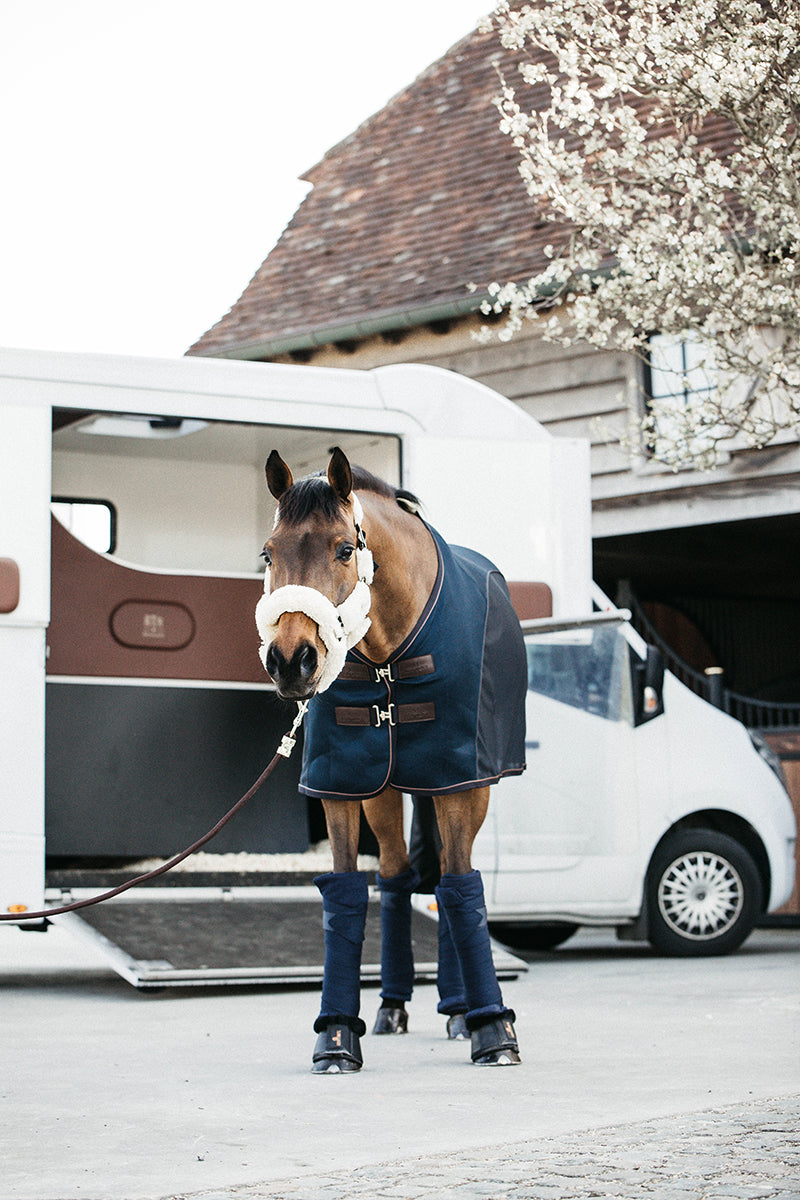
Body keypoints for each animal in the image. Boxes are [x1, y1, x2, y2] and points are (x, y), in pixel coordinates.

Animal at [256, 448, 532, 1070]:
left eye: (344, 548)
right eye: (268, 552)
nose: (290, 660)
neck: (389, 653)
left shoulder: (458, 781)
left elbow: (461, 887)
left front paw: (492, 1028)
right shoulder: (342, 786)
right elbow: (346, 893)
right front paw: (336, 1034)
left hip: (463, 787)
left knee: (447, 875)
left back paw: (459, 1011)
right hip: (384, 793)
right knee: (399, 876)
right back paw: (394, 1005)